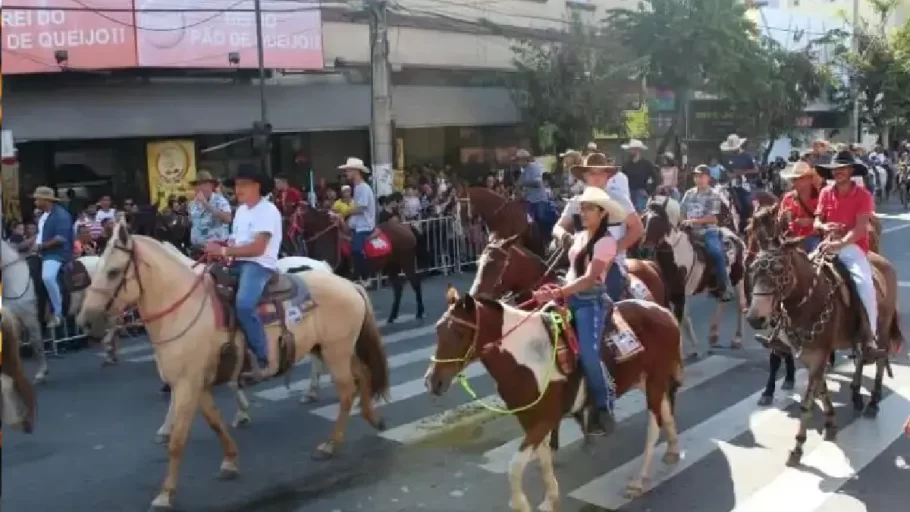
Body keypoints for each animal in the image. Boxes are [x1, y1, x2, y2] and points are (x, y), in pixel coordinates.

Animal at [78, 225, 392, 512]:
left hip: (336, 351)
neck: (184, 309)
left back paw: (330, 443)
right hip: (334, 349)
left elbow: (178, 440)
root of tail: (346, 282)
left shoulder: (186, 384)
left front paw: (165, 493)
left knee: (347, 391)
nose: (86, 321)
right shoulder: (198, 384)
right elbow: (215, 422)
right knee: (362, 376)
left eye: (114, 272)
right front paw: (230, 460)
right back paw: (372, 418)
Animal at [428, 290, 684, 510]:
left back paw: (638, 481)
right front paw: (550, 499)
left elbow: (515, 466)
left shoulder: (545, 419)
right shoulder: (529, 419)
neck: (526, 356)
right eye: (438, 330)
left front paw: (521, 504)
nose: (432, 381)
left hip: (654, 381)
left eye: (459, 333)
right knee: (666, 411)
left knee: (654, 425)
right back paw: (673, 450)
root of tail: (664, 312)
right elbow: (543, 458)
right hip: (647, 381)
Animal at [640, 196, 748, 356]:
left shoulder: (679, 295)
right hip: (717, 282)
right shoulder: (673, 295)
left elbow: (679, 320)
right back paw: (714, 335)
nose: (645, 244)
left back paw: (737, 339)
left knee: (740, 304)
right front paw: (693, 348)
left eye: (658, 219)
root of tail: (734, 236)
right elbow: (683, 318)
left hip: (738, 276)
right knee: (722, 300)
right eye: (644, 218)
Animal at [748, 206, 904, 466]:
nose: (754, 318)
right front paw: (830, 422)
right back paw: (856, 394)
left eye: (779, 270)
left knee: (880, 360)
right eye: (752, 270)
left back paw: (872, 402)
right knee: (861, 357)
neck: (808, 300)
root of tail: (883, 262)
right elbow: (821, 390)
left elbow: (808, 401)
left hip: (881, 329)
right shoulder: (808, 354)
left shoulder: (819, 355)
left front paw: (798, 447)